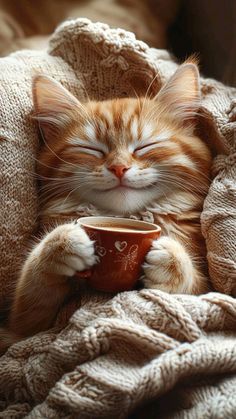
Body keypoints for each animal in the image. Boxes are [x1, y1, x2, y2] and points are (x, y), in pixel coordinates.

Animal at [0, 62, 211, 354]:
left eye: (145, 146)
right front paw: (63, 244)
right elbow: (34, 283)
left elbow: (191, 285)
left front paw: (171, 259)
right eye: (92, 150)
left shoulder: (205, 291)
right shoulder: (23, 325)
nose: (119, 168)